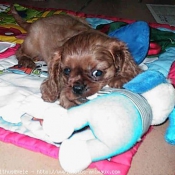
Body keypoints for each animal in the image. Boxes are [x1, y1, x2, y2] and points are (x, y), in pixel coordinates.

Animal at [11, 5, 142, 108]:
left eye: (97, 73)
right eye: (66, 71)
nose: (77, 88)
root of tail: (34, 22)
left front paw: (121, 77)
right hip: (31, 45)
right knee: (19, 51)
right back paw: (26, 61)